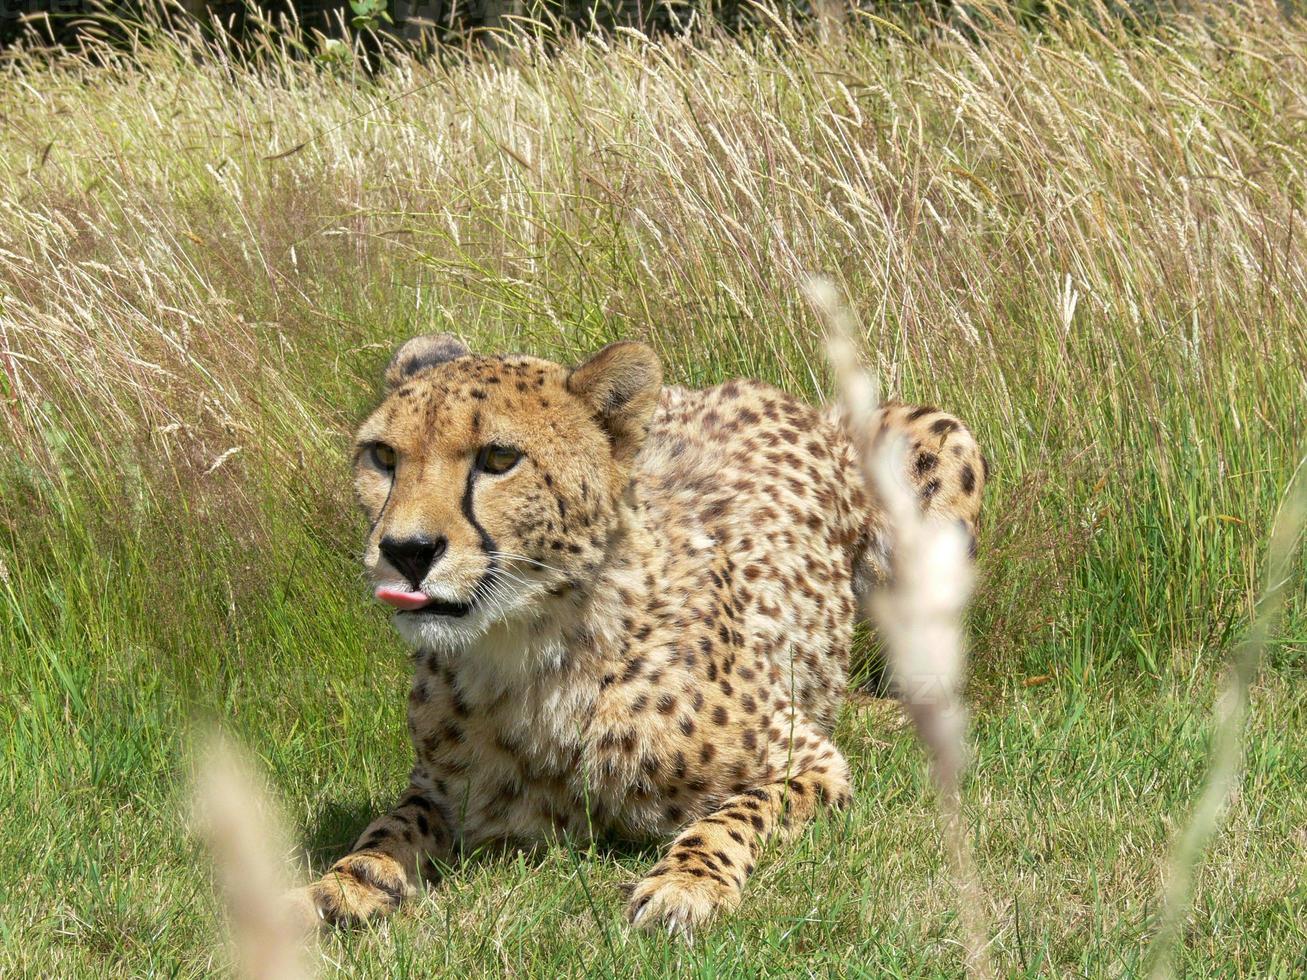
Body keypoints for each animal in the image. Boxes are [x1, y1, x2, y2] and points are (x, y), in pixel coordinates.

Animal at [283, 337, 982, 935]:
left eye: (499, 459)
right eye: (383, 456)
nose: (405, 551)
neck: (533, 651)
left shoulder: (810, 761)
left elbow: (730, 815)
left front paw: (685, 884)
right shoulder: (439, 788)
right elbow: (390, 825)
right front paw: (345, 882)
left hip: (937, 439)